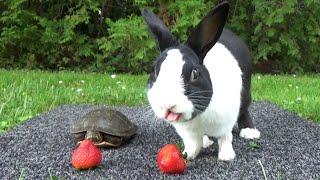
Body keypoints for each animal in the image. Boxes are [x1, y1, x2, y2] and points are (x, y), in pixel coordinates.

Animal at [142, 0, 260, 161]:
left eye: (194, 74)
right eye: (155, 71)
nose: (167, 104)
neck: (199, 116)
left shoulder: (226, 121)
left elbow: (225, 138)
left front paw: (227, 156)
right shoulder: (187, 133)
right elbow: (193, 143)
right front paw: (187, 155)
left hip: (246, 91)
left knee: (245, 108)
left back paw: (249, 131)